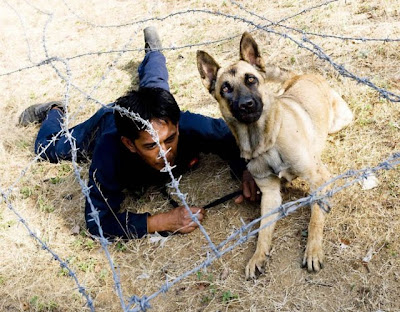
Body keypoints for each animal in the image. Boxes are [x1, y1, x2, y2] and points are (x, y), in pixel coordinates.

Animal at [198, 33, 354, 280]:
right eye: (226, 88)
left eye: (251, 80)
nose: (247, 105)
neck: (266, 143)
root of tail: (301, 75)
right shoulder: (270, 194)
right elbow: (263, 229)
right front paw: (257, 256)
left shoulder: (318, 178)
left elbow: (315, 218)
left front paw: (313, 249)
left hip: (340, 122)